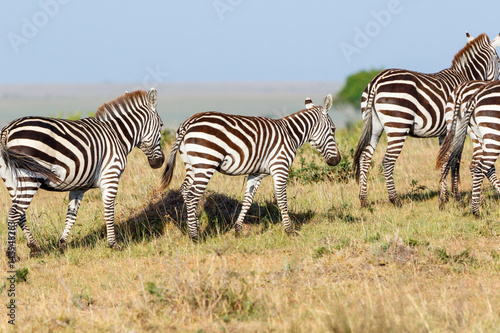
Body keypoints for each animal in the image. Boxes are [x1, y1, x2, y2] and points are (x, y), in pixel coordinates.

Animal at [2, 87, 166, 258]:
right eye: (161, 125)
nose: (160, 162)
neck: (117, 136)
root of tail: (8, 129)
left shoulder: (79, 186)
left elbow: (71, 216)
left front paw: (62, 244)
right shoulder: (111, 177)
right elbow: (109, 211)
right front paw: (113, 244)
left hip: (12, 180)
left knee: (20, 214)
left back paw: (34, 247)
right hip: (29, 178)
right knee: (14, 213)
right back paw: (12, 254)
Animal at [162, 94, 342, 240]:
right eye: (333, 129)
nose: (337, 160)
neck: (290, 134)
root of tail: (189, 122)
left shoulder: (257, 173)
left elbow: (248, 200)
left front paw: (237, 230)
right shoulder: (280, 167)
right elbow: (282, 199)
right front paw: (289, 230)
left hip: (191, 164)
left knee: (185, 190)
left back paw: (195, 225)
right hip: (206, 163)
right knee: (192, 195)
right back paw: (194, 236)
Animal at [438, 80, 500, 215]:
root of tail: (460, 91)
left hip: (457, 127)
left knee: (449, 161)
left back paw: (443, 202)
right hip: (491, 134)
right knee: (479, 167)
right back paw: (476, 211)